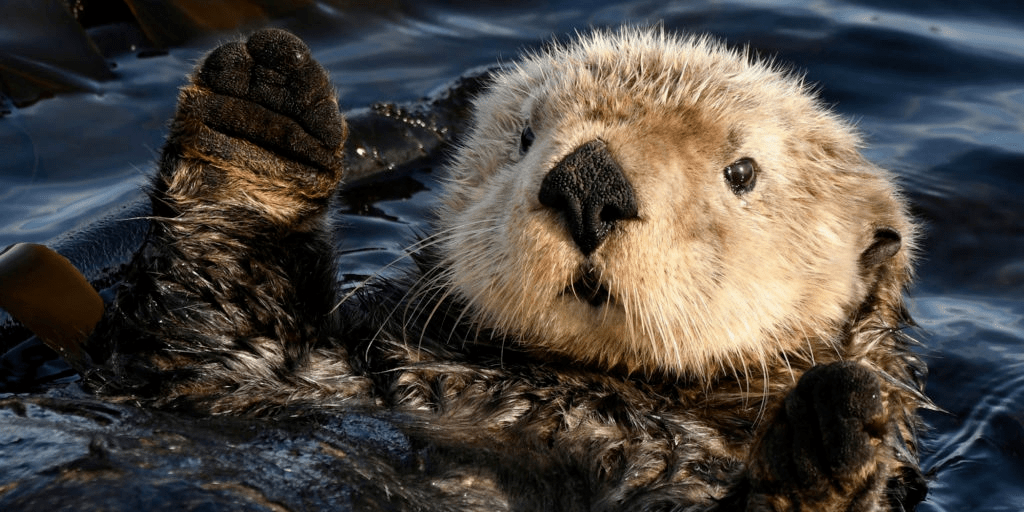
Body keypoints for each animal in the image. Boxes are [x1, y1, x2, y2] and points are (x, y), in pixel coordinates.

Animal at [36, 27, 933, 512]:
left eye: (742, 173)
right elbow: (201, 335)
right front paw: (261, 112)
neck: (567, 389)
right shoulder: (256, 380)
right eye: (526, 135)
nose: (588, 183)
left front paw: (831, 424)